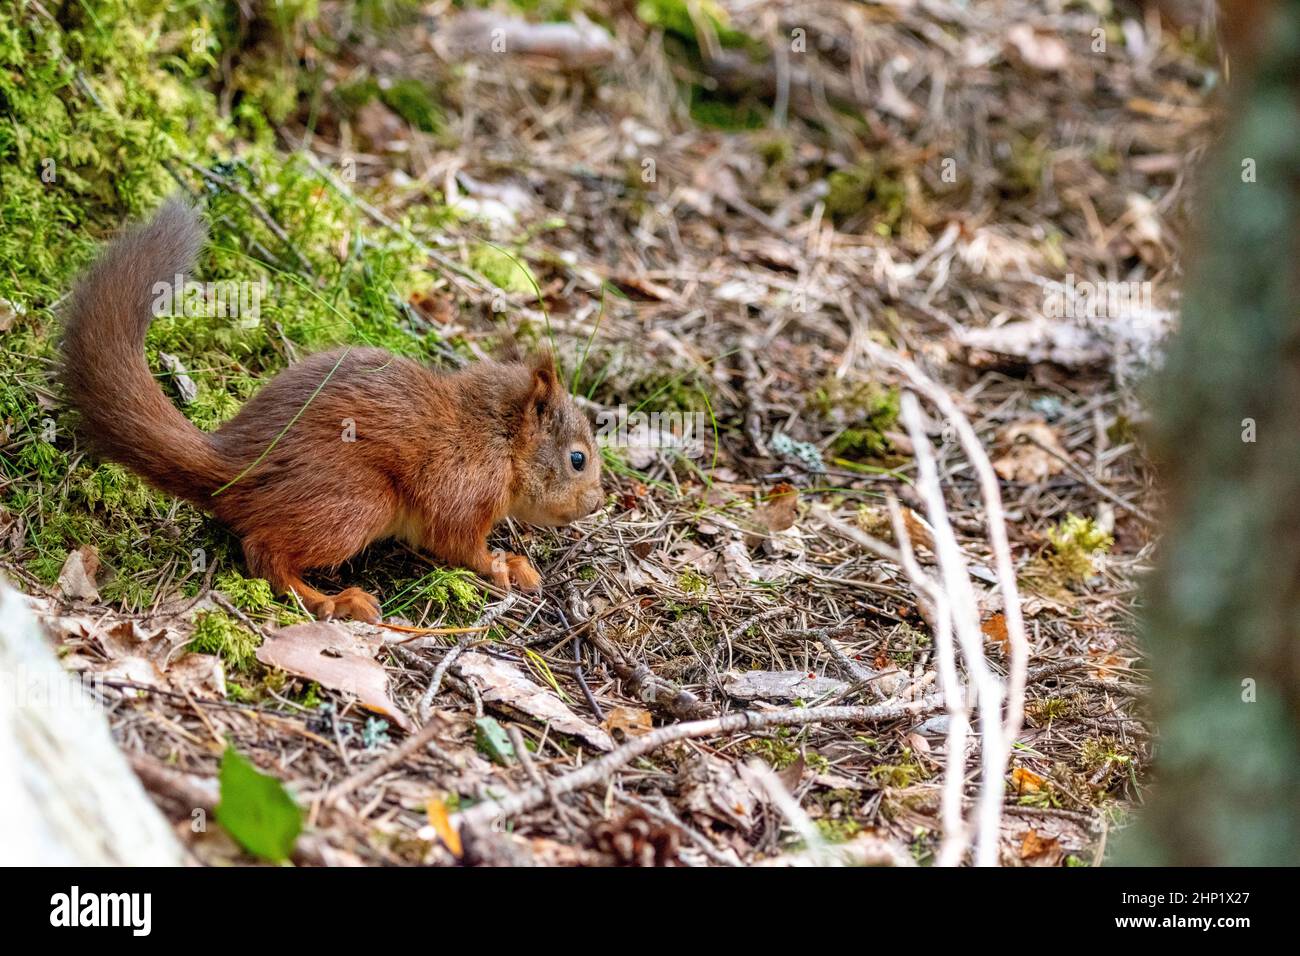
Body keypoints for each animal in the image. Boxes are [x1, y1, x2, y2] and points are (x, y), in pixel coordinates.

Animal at [61, 200, 603, 621]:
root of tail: (236, 464)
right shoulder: (463, 492)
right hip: (357, 501)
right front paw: (504, 566)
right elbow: (459, 544)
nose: (597, 503)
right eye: (577, 459)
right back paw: (332, 601)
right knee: (264, 552)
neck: (497, 439)